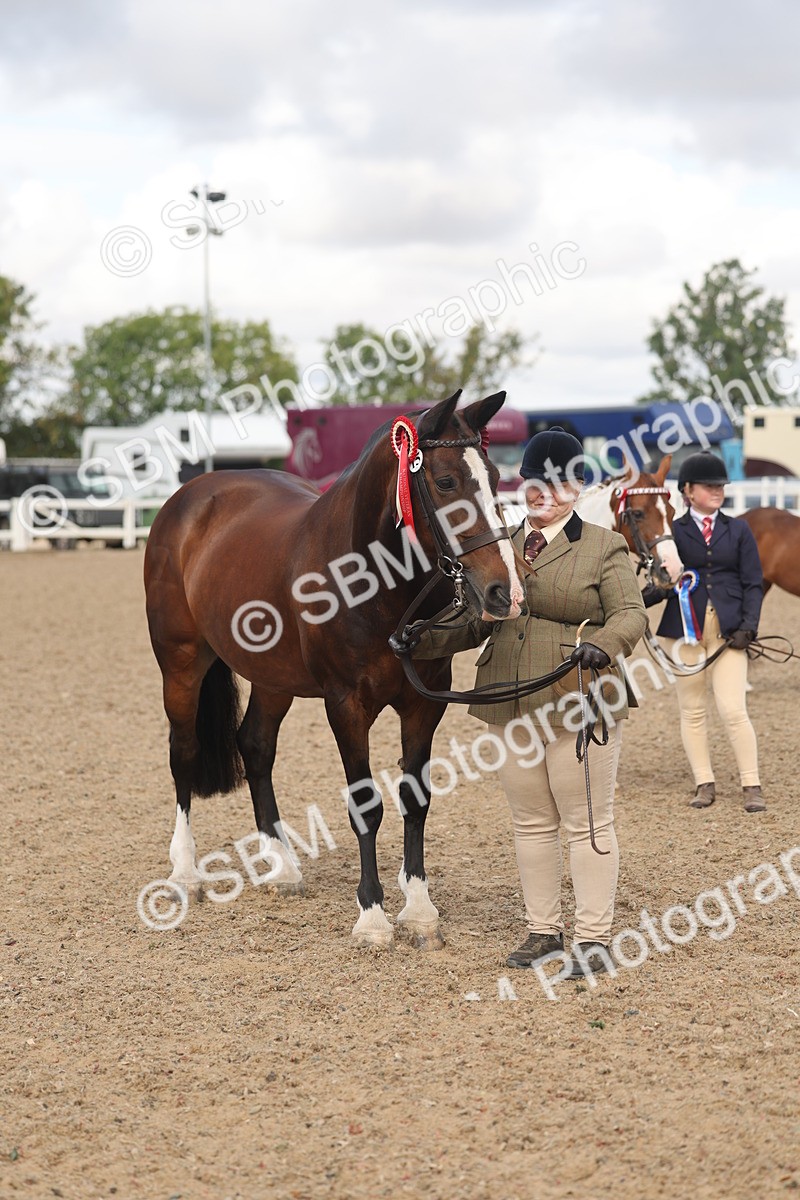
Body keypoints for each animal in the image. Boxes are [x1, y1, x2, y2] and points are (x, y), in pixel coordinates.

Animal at [143, 390, 525, 950]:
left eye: (496, 476)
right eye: (446, 481)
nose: (505, 593)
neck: (372, 583)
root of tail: (188, 496)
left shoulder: (424, 702)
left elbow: (415, 800)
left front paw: (419, 910)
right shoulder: (346, 705)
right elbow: (366, 806)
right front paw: (372, 917)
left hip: (272, 677)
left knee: (255, 745)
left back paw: (282, 866)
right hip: (182, 662)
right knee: (184, 752)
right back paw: (186, 872)